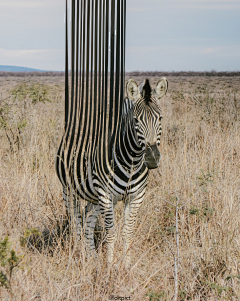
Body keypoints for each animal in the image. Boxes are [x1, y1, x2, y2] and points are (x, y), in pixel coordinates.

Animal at [56, 76, 169, 266]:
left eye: (160, 118)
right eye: (136, 120)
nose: (152, 158)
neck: (131, 161)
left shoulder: (136, 197)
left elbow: (128, 232)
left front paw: (127, 266)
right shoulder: (106, 195)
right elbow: (111, 233)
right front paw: (109, 267)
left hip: (94, 198)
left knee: (87, 224)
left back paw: (91, 258)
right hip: (70, 190)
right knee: (76, 225)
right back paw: (80, 257)